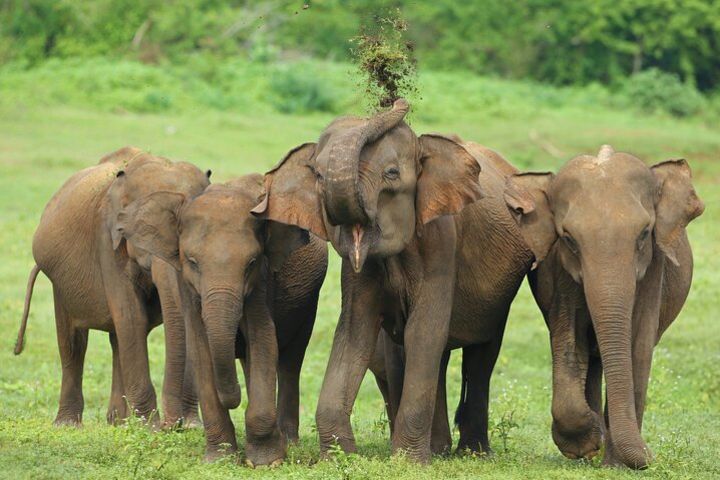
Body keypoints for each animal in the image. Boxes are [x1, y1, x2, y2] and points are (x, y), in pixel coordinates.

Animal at [13, 147, 208, 428]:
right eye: (142, 232)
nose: (173, 425)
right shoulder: (107, 238)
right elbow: (131, 315)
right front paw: (150, 428)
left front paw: (190, 427)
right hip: (60, 282)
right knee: (74, 342)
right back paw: (69, 425)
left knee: (118, 339)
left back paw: (118, 422)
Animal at [119, 174, 328, 466]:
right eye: (192, 262)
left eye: (251, 262)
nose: (233, 399)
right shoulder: (187, 287)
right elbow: (200, 348)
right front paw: (219, 459)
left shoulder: (262, 280)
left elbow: (263, 339)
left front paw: (266, 463)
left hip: (308, 302)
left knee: (290, 360)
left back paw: (288, 442)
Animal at [253, 98, 536, 462]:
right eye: (317, 174)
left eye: (391, 174)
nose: (396, 101)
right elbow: (355, 332)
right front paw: (340, 458)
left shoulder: (441, 243)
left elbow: (423, 331)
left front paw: (409, 462)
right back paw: (439, 449)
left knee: (480, 356)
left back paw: (471, 453)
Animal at [504, 144, 704, 466]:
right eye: (569, 239)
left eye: (645, 233)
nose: (651, 454)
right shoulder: (560, 272)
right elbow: (570, 341)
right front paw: (586, 442)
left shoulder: (653, 270)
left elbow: (638, 348)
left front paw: (617, 464)